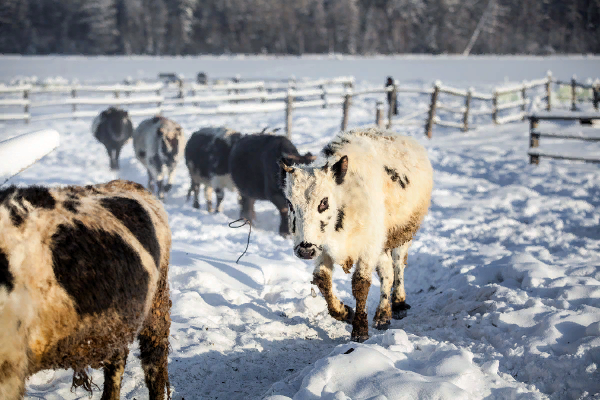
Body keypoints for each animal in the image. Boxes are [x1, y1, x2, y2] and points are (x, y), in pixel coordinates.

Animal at [282, 127, 432, 340]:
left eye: (324, 202)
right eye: (289, 203)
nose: (304, 250)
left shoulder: (368, 247)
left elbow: (361, 283)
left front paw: (360, 330)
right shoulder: (323, 247)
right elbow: (322, 279)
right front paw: (345, 312)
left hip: (403, 234)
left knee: (398, 266)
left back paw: (398, 304)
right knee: (387, 272)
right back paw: (383, 315)